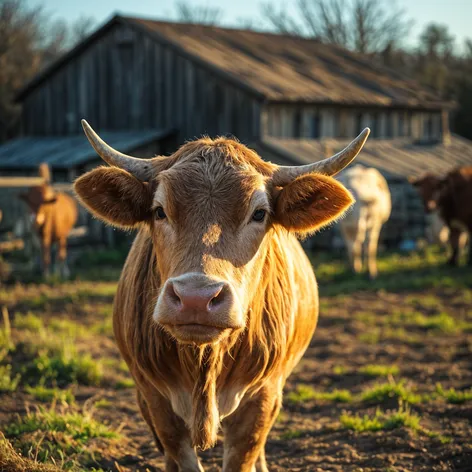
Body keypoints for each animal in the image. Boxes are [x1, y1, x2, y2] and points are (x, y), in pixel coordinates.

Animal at [74, 121, 370, 472]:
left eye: (259, 214)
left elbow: (245, 453)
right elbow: (179, 453)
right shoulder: (154, 397)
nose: (196, 298)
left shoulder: (262, 398)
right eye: (159, 211)